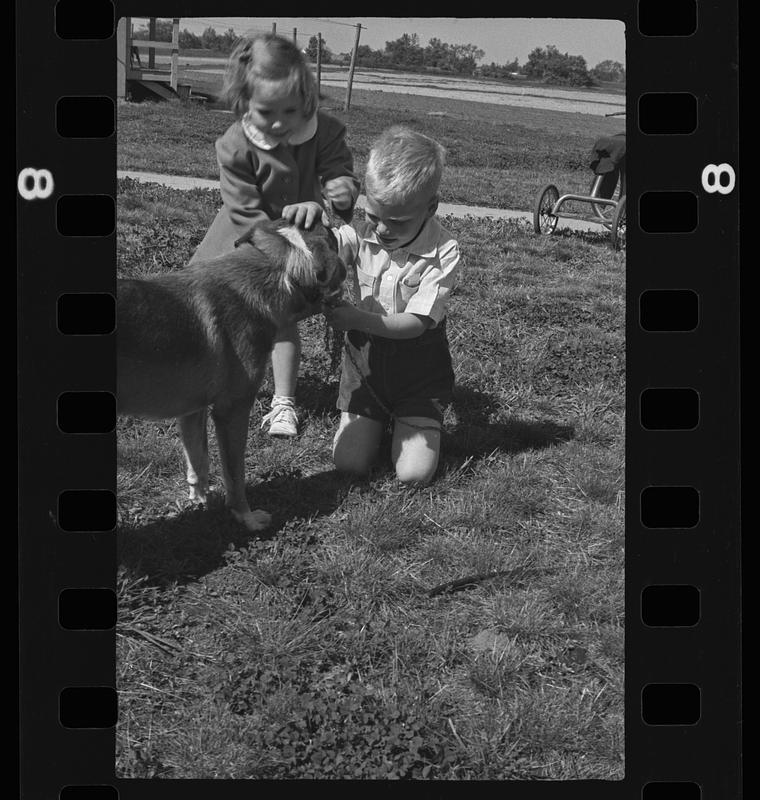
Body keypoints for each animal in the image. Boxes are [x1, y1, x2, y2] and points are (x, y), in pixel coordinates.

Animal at [117, 219, 346, 532]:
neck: (276, 270)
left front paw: (200, 501)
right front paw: (245, 517)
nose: (330, 219)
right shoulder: (233, 411)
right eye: (332, 238)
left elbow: (199, 463)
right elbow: (235, 474)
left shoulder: (193, 410)